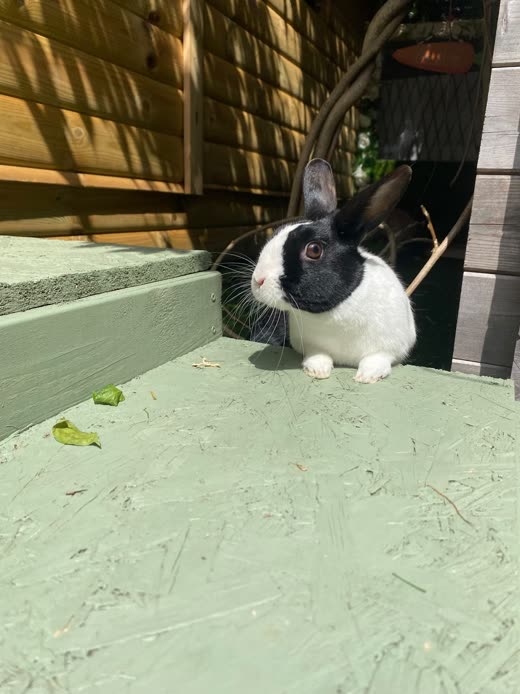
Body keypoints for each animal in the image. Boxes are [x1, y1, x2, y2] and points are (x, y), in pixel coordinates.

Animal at [250, 159, 416, 383]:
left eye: (314, 250)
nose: (258, 280)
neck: (334, 309)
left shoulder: (389, 347)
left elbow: (378, 358)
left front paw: (367, 376)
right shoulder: (311, 345)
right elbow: (317, 354)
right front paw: (317, 370)